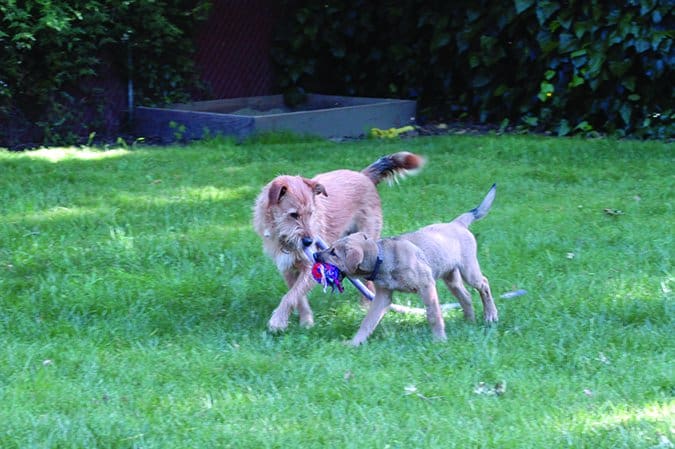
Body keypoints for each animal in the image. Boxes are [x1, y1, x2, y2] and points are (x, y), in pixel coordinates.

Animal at [256, 152, 426, 330]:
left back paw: (365, 307)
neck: (283, 239)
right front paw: (306, 320)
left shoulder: (310, 266)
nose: (309, 242)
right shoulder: (288, 268)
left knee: (369, 284)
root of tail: (363, 175)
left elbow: (291, 296)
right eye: (293, 215)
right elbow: (297, 296)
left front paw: (278, 321)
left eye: (311, 213)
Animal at [314, 184, 500, 344]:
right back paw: (470, 321)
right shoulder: (383, 296)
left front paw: (439, 340)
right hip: (451, 277)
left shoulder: (427, 285)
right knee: (466, 296)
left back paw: (490, 315)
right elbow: (368, 321)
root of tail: (457, 223)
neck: (382, 258)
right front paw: (354, 343)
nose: (315, 255)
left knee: (484, 284)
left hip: (469, 271)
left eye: (334, 253)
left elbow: (433, 315)